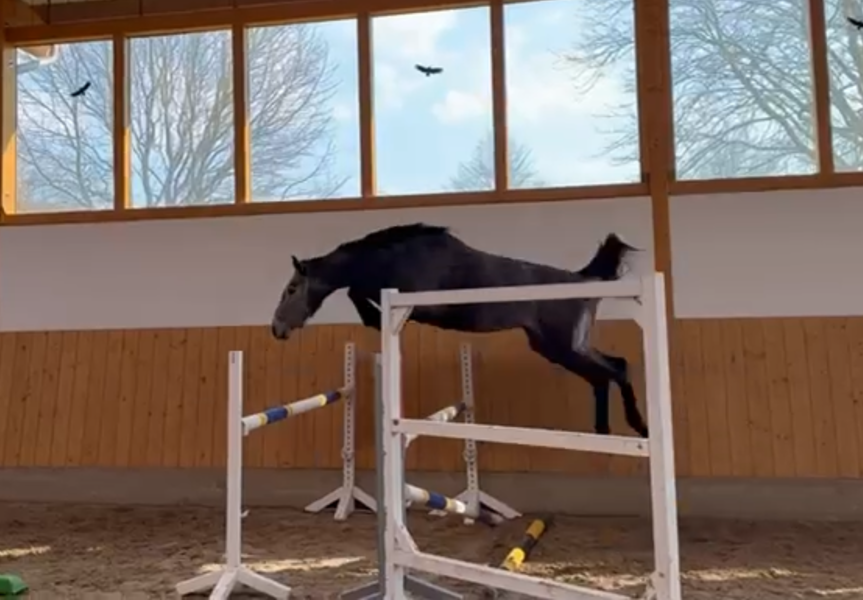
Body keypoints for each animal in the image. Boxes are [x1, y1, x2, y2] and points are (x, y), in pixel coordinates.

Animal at [270, 223, 647, 438]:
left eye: (291, 289)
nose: (276, 329)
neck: (393, 257)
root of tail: (585, 280)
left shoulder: (420, 304)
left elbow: (355, 291)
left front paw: (374, 318)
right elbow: (356, 291)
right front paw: (372, 318)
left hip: (566, 345)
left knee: (617, 370)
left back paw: (640, 427)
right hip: (557, 348)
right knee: (607, 372)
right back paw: (604, 430)